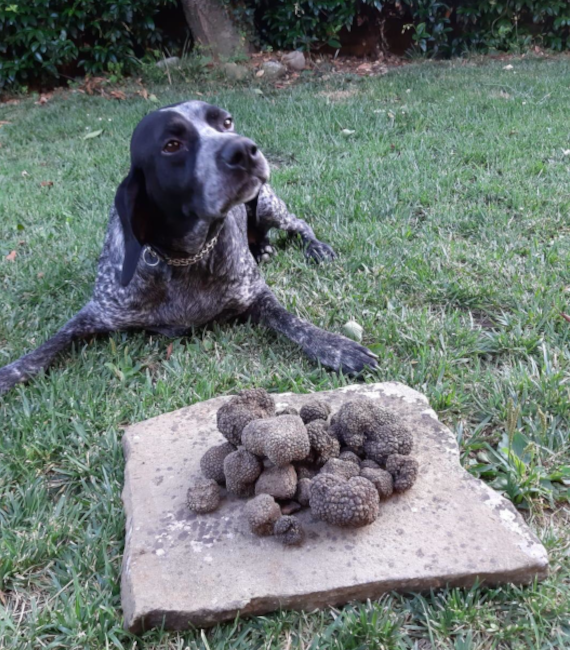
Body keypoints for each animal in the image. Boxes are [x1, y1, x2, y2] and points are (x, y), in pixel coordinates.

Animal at [0, 100, 378, 394]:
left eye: (226, 122)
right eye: (171, 145)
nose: (244, 149)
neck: (186, 255)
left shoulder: (257, 296)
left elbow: (295, 323)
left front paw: (337, 347)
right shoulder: (95, 313)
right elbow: (47, 347)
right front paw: (9, 374)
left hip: (268, 203)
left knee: (299, 224)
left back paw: (314, 248)